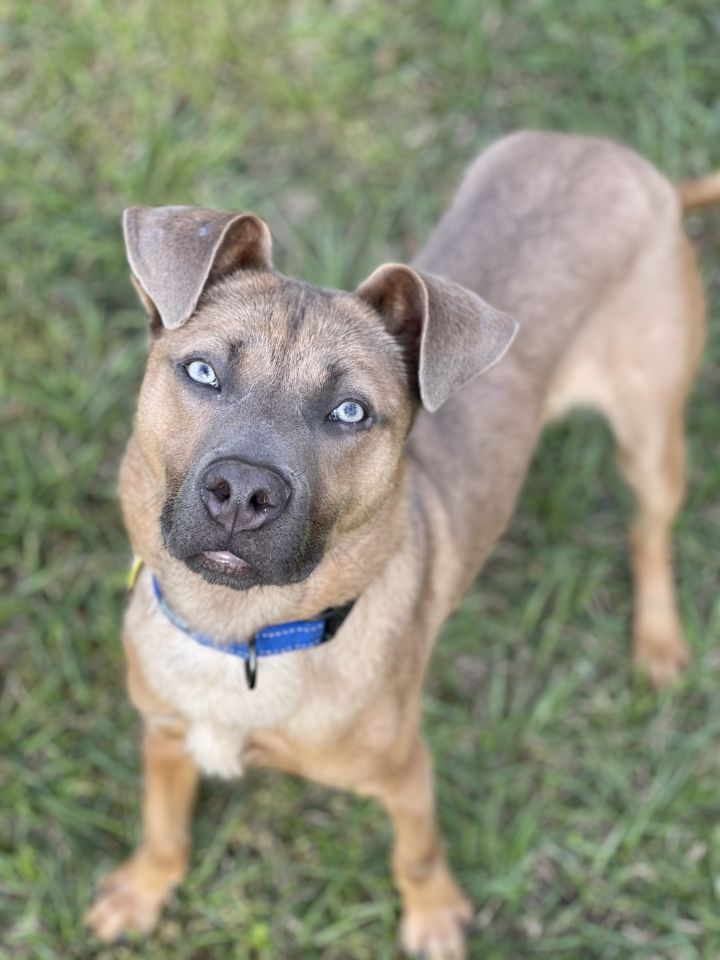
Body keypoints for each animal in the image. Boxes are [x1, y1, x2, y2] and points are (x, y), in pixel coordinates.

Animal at [87, 131, 716, 956]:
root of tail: (627, 162)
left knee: (651, 532)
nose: (243, 493)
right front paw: (143, 888)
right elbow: (163, 823)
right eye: (201, 370)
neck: (242, 635)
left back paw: (659, 640)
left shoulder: (408, 772)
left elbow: (416, 852)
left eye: (351, 411)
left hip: (651, 435)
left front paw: (434, 915)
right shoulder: (164, 737)